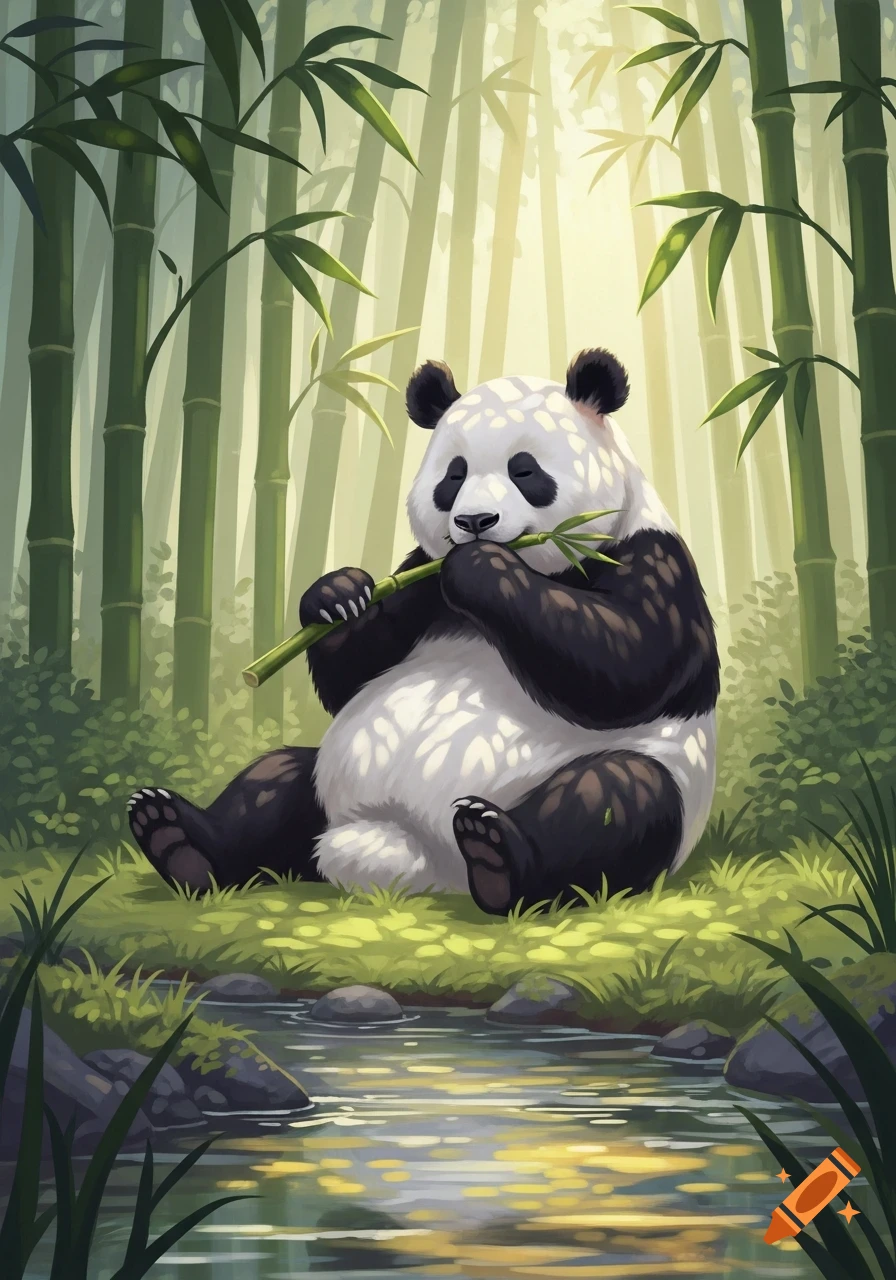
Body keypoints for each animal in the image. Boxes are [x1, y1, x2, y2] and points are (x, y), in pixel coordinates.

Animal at [127, 348, 719, 916]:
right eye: (452, 476)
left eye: (524, 471)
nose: (475, 522)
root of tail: (404, 851)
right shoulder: (418, 581)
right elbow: (353, 673)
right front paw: (338, 594)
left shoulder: (650, 556)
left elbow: (629, 662)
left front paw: (480, 567)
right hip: (324, 784)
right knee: (276, 778)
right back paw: (177, 838)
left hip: (641, 785)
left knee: (616, 797)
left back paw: (497, 852)